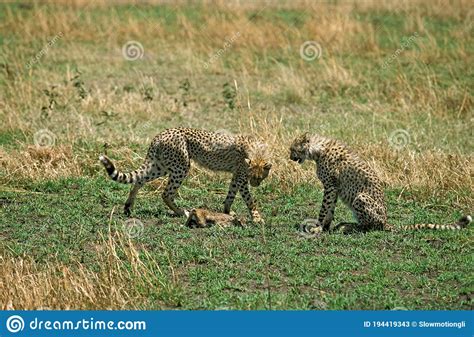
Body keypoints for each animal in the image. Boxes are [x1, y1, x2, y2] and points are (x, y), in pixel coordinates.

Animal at [99, 127, 270, 222]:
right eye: (254, 178)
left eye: (260, 178)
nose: (255, 184)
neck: (257, 154)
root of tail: (162, 133)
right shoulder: (242, 176)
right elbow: (249, 199)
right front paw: (257, 218)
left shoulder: (237, 175)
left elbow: (231, 193)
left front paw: (227, 211)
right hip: (181, 167)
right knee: (166, 193)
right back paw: (181, 212)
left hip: (160, 166)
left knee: (139, 180)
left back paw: (128, 207)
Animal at [288, 133, 470, 232]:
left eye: (292, 149)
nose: (290, 157)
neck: (317, 150)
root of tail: (386, 221)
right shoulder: (334, 188)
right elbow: (330, 209)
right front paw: (325, 227)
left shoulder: (330, 186)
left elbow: (324, 209)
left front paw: (318, 227)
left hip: (361, 198)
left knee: (369, 226)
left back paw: (349, 227)